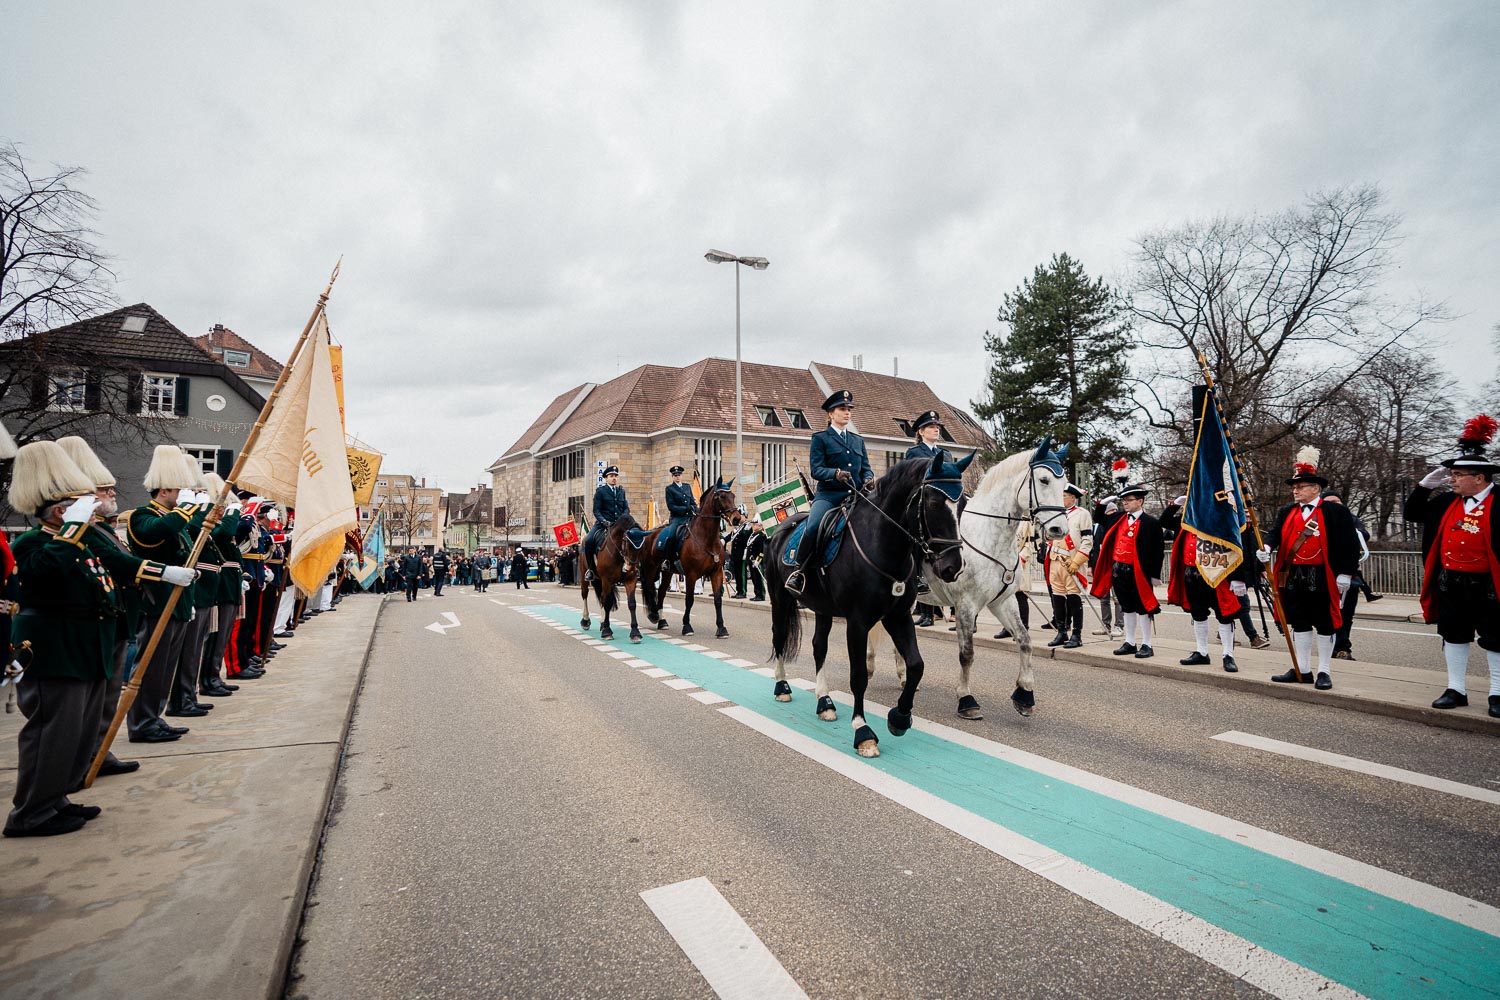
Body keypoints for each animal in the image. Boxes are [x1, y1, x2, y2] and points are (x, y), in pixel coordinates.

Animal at [576, 512, 642, 644]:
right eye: (627, 542)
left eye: (641, 545)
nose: (631, 568)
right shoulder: (607, 580)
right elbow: (607, 603)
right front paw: (607, 632)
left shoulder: (630, 580)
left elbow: (632, 604)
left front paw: (635, 632)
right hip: (585, 576)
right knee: (585, 595)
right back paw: (586, 621)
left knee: (601, 597)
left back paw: (602, 623)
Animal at [639, 479, 744, 638]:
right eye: (720, 496)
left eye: (732, 495)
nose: (737, 518)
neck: (706, 538)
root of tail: (649, 533)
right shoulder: (691, 574)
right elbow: (689, 599)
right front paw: (687, 626)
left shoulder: (716, 573)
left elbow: (717, 600)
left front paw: (721, 628)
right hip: (651, 569)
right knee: (652, 590)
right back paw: (654, 615)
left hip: (667, 572)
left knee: (662, 592)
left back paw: (662, 621)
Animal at [768, 455, 966, 758]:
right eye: (933, 502)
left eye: (963, 503)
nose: (953, 567)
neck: (883, 545)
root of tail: (783, 525)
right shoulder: (858, 623)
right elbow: (859, 675)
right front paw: (863, 732)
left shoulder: (898, 617)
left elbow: (916, 665)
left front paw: (899, 717)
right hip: (779, 599)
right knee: (779, 637)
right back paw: (782, 687)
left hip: (823, 609)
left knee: (818, 647)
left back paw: (824, 702)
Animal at [870, 440, 1080, 719]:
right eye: (1044, 480)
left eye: (1064, 482)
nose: (1059, 530)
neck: (991, 537)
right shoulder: (966, 605)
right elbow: (967, 653)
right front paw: (966, 699)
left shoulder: (1003, 601)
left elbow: (1025, 641)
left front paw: (1025, 693)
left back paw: (904, 677)